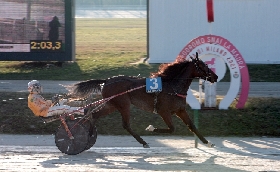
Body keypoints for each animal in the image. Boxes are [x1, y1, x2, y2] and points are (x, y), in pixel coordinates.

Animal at [69, 53, 218, 148]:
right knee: (125, 125)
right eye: (203, 65)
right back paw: (143, 142)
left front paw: (208, 142)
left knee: (94, 115)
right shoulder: (163, 111)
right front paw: (151, 128)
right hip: (123, 104)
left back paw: (89, 136)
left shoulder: (180, 110)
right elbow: (172, 129)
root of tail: (107, 81)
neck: (173, 86)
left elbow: (192, 126)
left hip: (112, 104)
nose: (215, 77)